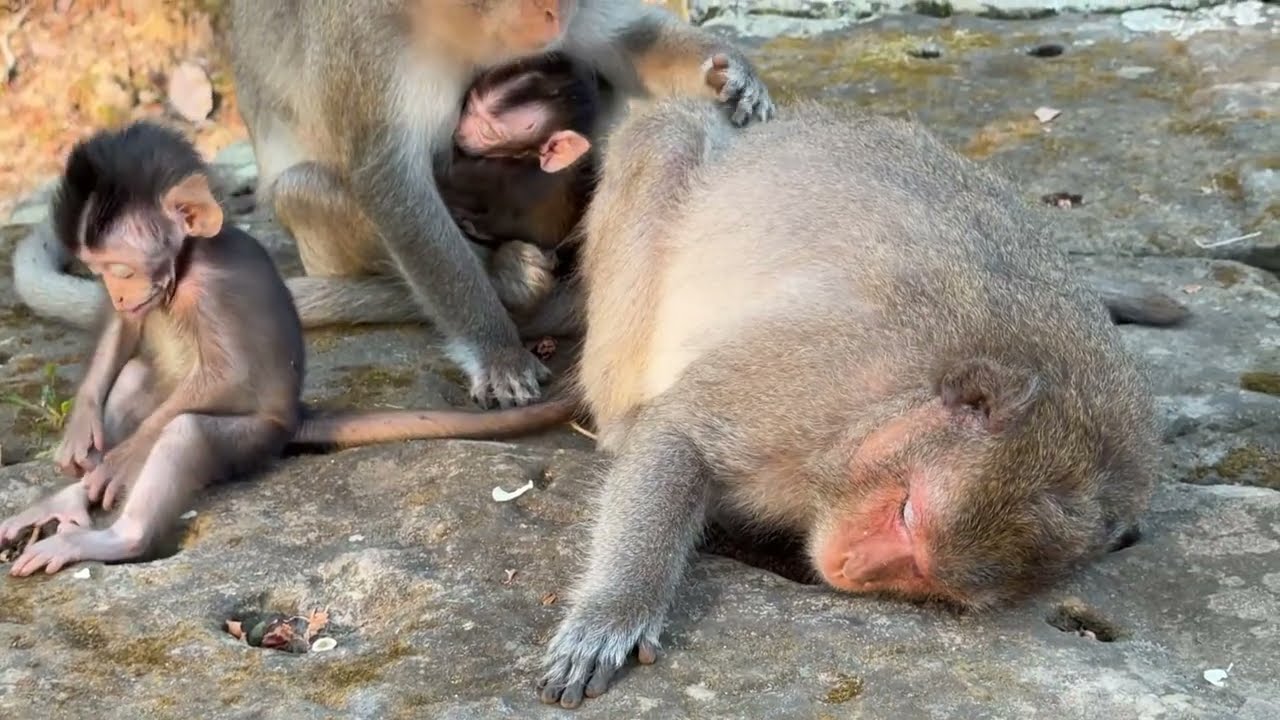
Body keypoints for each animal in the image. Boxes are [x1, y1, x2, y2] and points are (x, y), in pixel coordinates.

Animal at [0, 121, 581, 577]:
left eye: (119, 268)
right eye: (98, 272)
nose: (118, 292)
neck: (186, 266)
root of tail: (296, 415)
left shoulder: (214, 290)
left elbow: (229, 375)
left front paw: (118, 461)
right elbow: (125, 332)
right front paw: (84, 429)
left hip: (256, 438)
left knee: (185, 429)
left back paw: (119, 535)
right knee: (137, 377)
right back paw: (68, 502)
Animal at [534, 98, 1167, 708]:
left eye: (926, 577)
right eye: (907, 511)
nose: (852, 570)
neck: (893, 402)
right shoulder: (827, 373)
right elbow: (679, 432)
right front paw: (615, 612)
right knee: (666, 134)